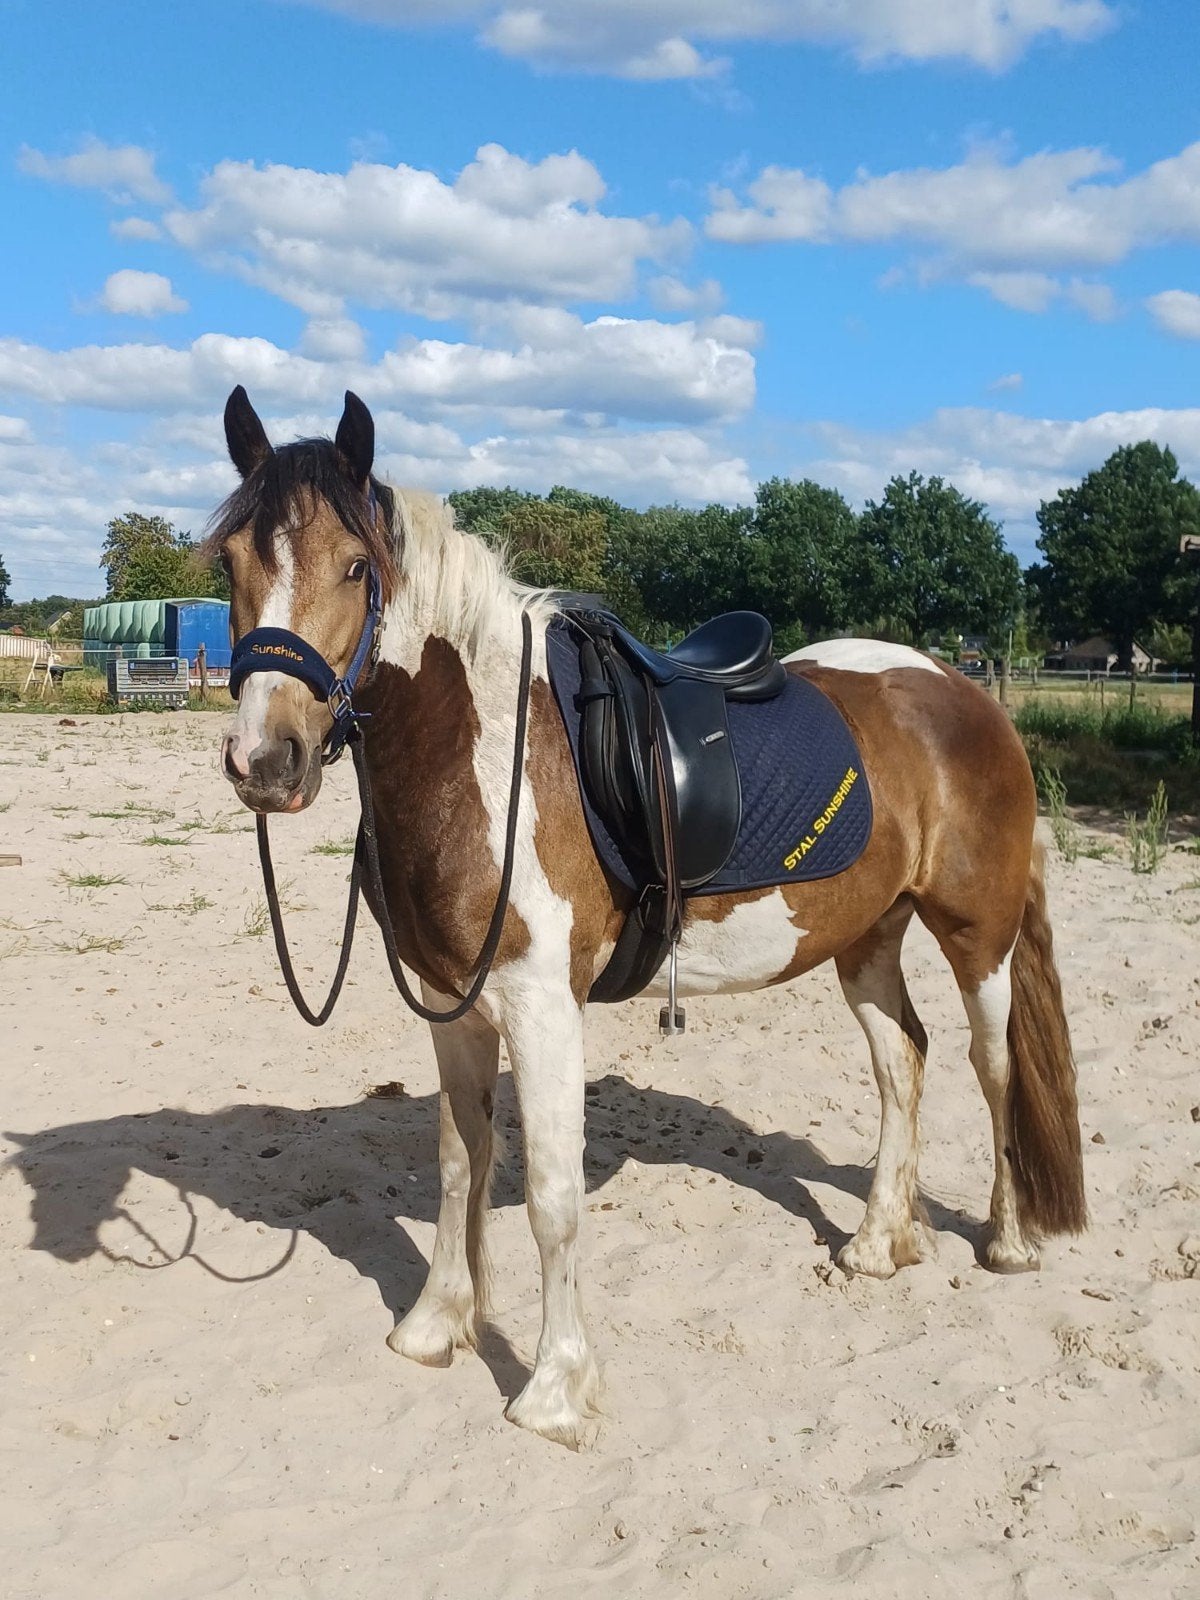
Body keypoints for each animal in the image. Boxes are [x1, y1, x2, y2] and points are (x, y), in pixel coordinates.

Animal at [209, 387, 1085, 1449]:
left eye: (354, 565)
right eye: (229, 563)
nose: (267, 761)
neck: (483, 756)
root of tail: (960, 689)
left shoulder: (542, 1009)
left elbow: (552, 1198)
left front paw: (554, 1391)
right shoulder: (452, 1005)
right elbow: (460, 1163)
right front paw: (435, 1326)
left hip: (977, 936)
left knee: (994, 1069)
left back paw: (1009, 1241)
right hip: (866, 939)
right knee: (901, 1063)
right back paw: (879, 1242)